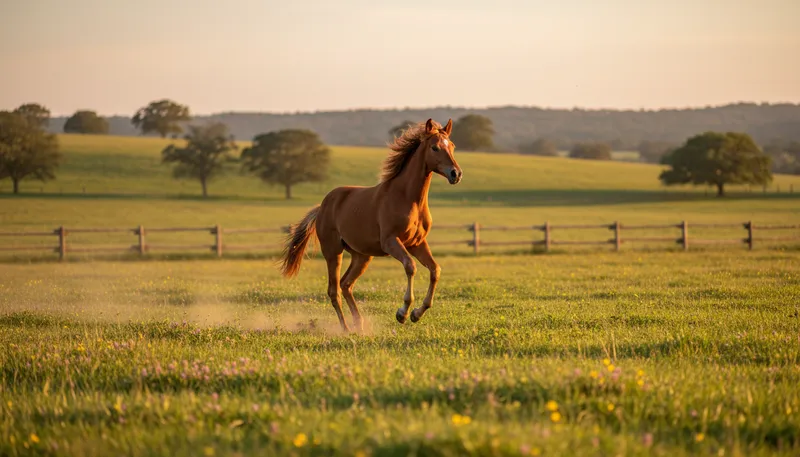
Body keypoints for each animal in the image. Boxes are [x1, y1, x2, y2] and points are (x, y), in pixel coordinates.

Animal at [278, 118, 463, 332]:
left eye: (452, 146)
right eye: (434, 147)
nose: (456, 173)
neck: (408, 198)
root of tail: (322, 207)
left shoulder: (417, 243)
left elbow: (435, 270)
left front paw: (417, 313)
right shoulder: (391, 241)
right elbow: (410, 267)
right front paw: (402, 313)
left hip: (362, 256)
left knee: (346, 284)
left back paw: (359, 324)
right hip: (333, 252)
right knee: (334, 290)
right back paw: (346, 329)